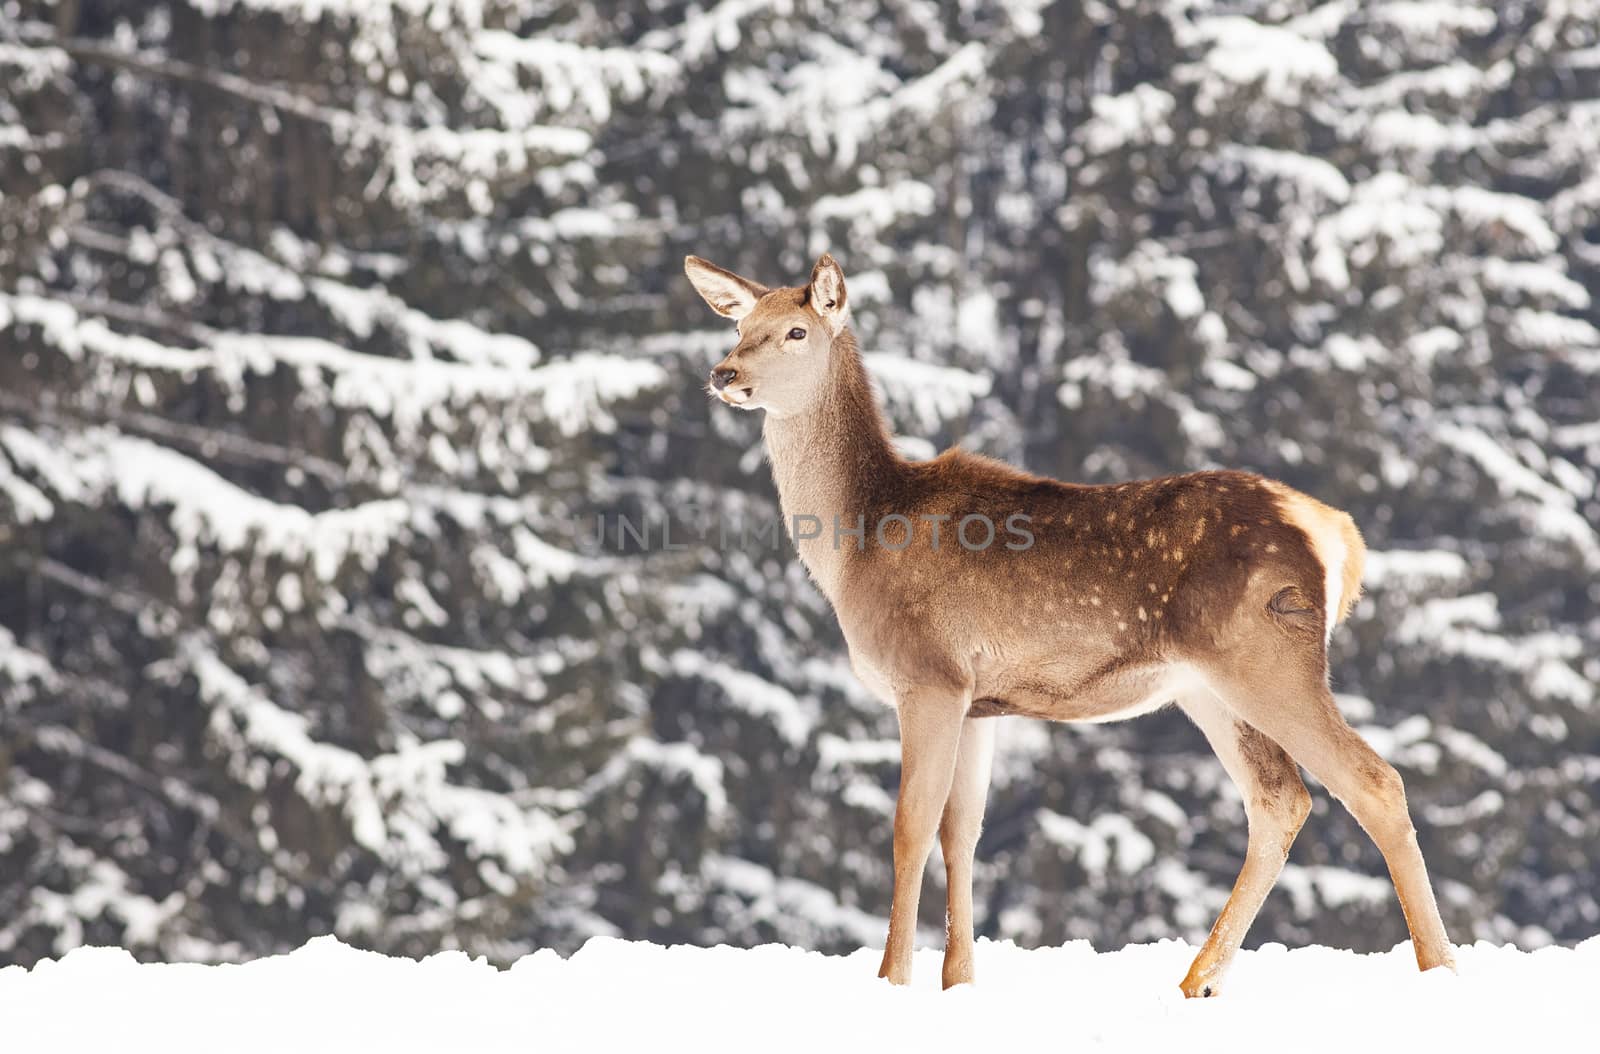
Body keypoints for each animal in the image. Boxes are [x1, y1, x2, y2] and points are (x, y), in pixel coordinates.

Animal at [681, 251, 1459, 991]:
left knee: (1373, 781)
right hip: (1207, 687)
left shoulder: (927, 673)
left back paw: (1439, 969)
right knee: (1279, 801)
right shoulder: (976, 701)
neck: (858, 544)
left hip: (1267, 654)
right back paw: (1198, 982)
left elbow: (910, 826)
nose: (723, 373)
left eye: (795, 331)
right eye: (739, 325)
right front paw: (958, 981)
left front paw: (892, 978)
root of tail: (1334, 530)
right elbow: (961, 833)